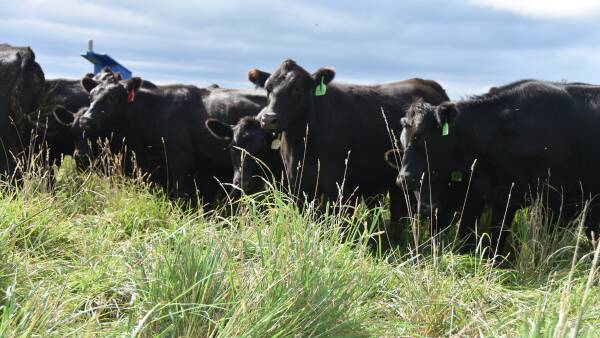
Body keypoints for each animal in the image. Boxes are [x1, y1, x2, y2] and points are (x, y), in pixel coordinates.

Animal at [398, 79, 600, 258]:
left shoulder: (555, 198)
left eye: (421, 136)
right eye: (402, 140)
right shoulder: (504, 196)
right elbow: (497, 238)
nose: (403, 178)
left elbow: (546, 241)